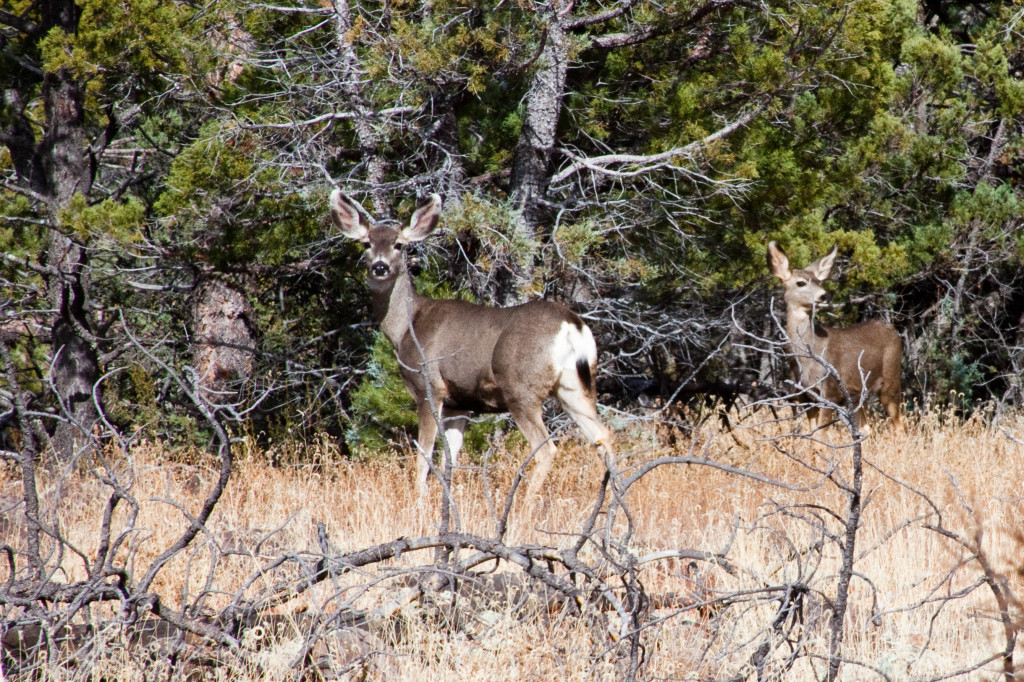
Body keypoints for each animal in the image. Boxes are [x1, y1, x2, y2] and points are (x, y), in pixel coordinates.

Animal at [330, 190, 615, 501]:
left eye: (399, 244)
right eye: (367, 243)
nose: (379, 267)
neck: (407, 327)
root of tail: (572, 326)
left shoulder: (429, 387)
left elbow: (424, 456)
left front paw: (418, 502)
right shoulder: (460, 403)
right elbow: (450, 459)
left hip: (521, 389)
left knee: (547, 449)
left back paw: (523, 509)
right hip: (575, 386)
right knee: (604, 437)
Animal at [767, 241, 903, 432]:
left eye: (819, 281)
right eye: (800, 283)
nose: (824, 295)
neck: (806, 360)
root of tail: (892, 329)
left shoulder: (830, 391)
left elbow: (820, 434)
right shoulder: (806, 397)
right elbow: (813, 436)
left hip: (891, 377)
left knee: (899, 423)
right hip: (856, 396)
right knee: (866, 428)